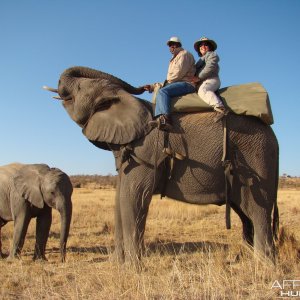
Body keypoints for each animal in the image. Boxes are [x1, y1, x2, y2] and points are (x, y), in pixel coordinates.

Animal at [44, 65, 278, 264]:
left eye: (79, 88)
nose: (62, 260)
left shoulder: (146, 151)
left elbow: (132, 196)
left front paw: (132, 269)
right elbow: (119, 199)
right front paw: (117, 264)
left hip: (258, 155)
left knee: (258, 211)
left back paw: (263, 265)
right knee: (246, 214)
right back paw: (246, 259)